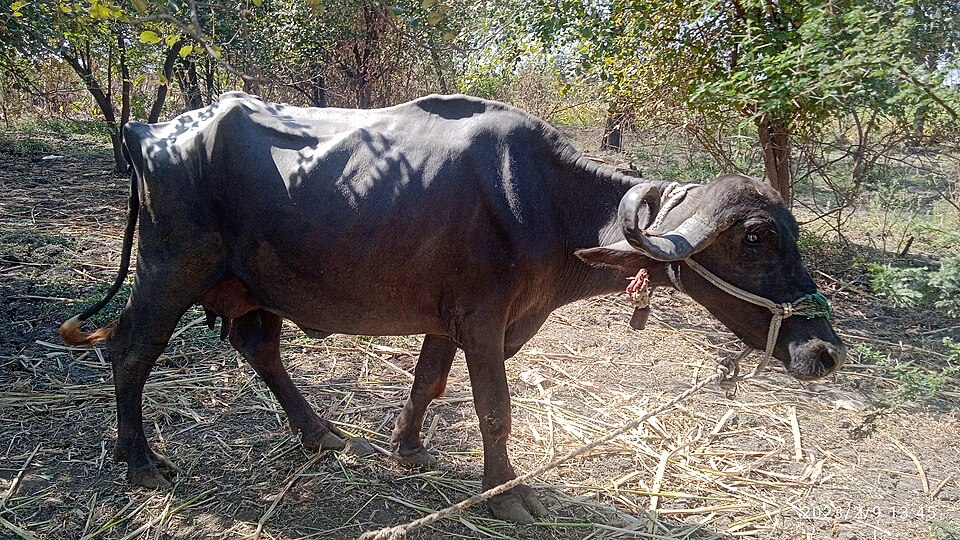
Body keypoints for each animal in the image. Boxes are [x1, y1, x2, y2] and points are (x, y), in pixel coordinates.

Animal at [61, 92, 845, 523]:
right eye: (755, 237)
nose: (825, 350)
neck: (544, 203)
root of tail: (148, 134)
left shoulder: (449, 321)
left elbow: (427, 383)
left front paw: (408, 450)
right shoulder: (483, 322)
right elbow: (494, 409)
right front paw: (503, 494)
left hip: (253, 287)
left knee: (260, 349)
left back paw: (320, 434)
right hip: (170, 271)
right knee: (131, 349)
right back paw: (140, 461)